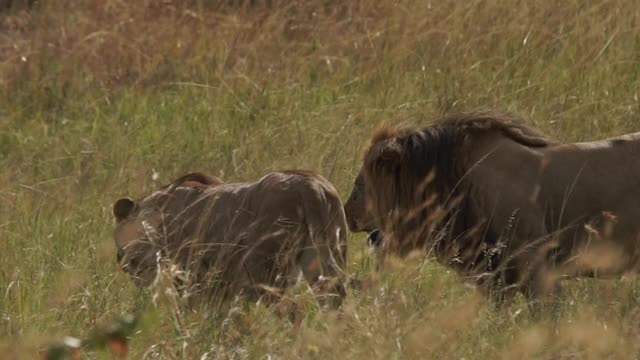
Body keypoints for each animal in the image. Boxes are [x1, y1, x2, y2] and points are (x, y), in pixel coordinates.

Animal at [112, 170, 348, 308]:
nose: (121, 262)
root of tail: (310, 187)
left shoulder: (189, 276)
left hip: (266, 272)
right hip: (324, 256)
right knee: (335, 297)